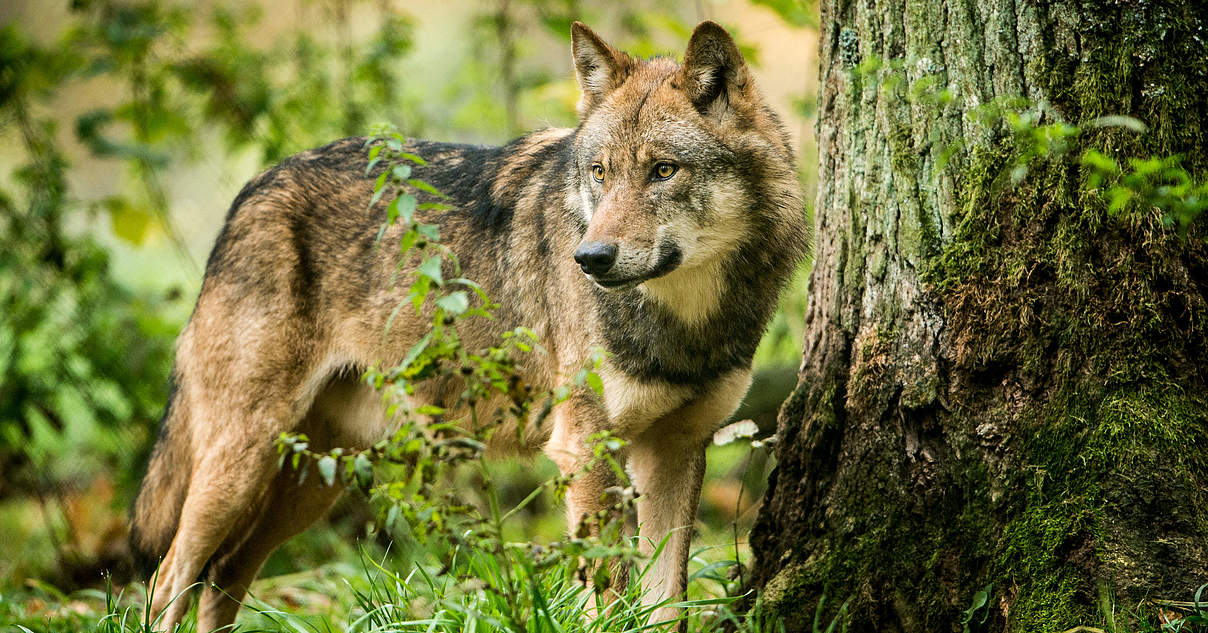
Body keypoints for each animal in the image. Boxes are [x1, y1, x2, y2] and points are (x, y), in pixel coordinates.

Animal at [132, 18, 806, 628]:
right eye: (600, 172)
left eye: (664, 170)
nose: (589, 258)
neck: (683, 318)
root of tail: (252, 188)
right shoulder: (585, 452)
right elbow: (609, 595)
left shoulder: (675, 449)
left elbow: (668, 602)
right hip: (242, 463)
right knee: (169, 577)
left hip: (314, 480)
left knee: (223, 578)